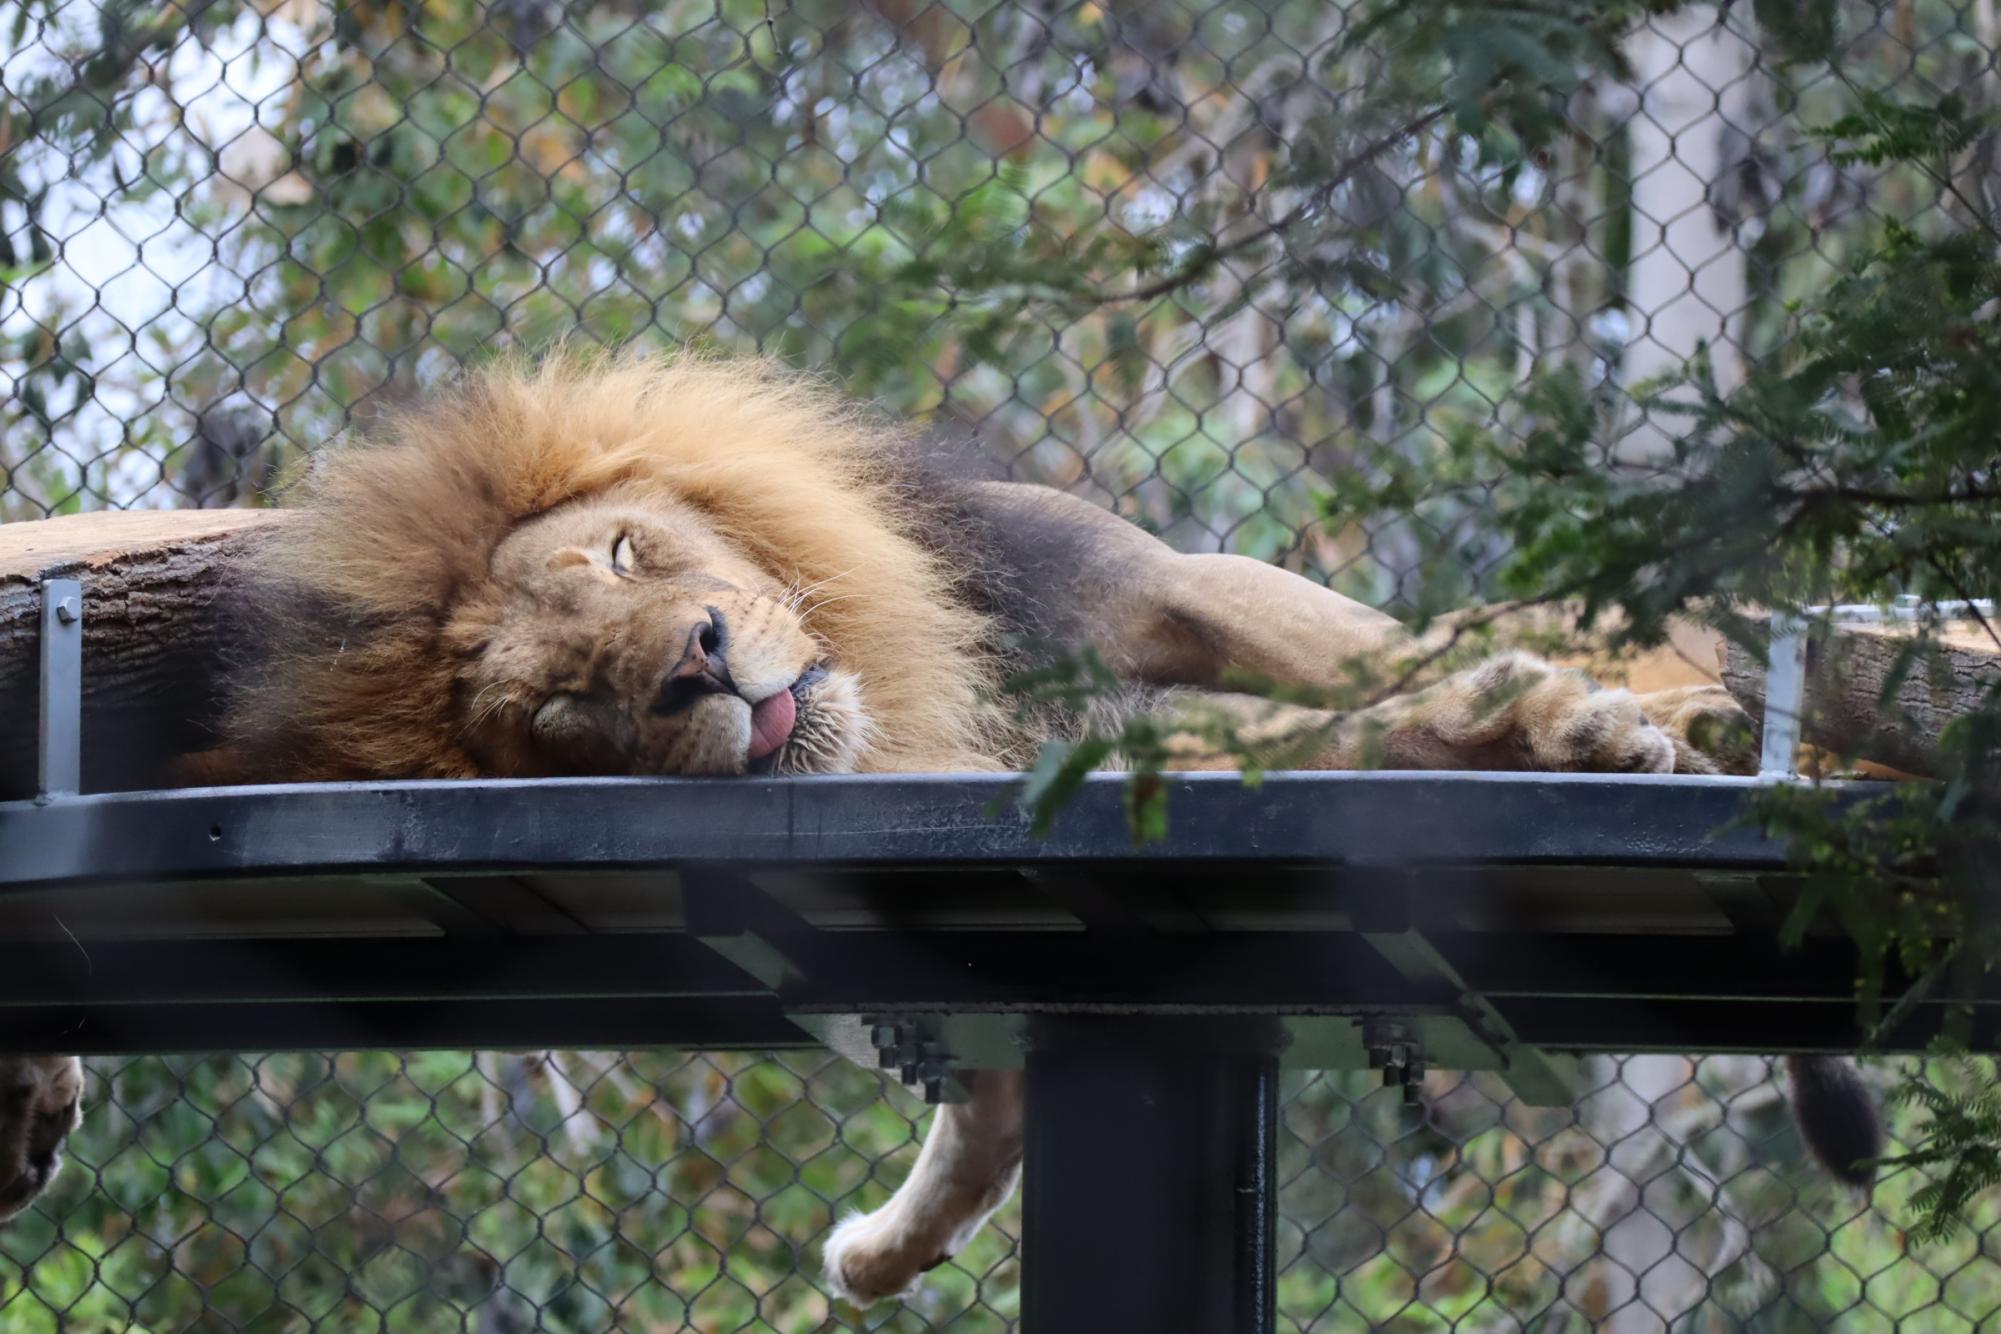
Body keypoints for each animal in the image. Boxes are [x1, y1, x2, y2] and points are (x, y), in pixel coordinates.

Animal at [54, 350, 1864, 1296]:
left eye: (627, 555)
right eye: (562, 702)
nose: (696, 663)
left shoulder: (1159, 590)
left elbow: (1387, 665)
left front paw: (1579, 724)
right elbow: (985, 1089)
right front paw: (887, 1244)